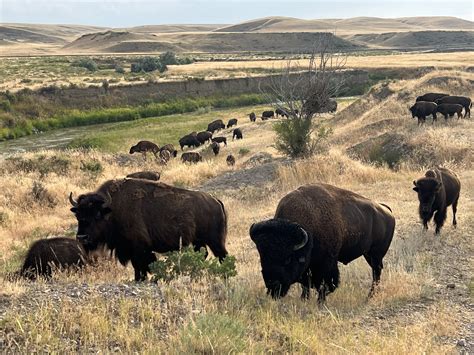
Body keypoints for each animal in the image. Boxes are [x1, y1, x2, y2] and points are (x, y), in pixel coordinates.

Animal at [68, 179, 228, 282]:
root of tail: (216, 201)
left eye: (97, 215)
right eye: (78, 215)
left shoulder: (139, 247)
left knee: (222, 255)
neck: (113, 210)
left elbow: (141, 265)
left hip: (215, 240)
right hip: (198, 241)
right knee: (204, 253)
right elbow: (138, 266)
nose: (82, 237)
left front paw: (141, 279)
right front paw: (138, 279)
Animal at [250, 184, 394, 304]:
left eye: (288, 259)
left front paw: (321, 301)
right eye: (262, 258)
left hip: (376, 254)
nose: (273, 287)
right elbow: (306, 284)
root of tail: (386, 211)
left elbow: (325, 283)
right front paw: (304, 299)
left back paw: (370, 296)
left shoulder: (326, 263)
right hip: (368, 254)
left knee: (376, 272)